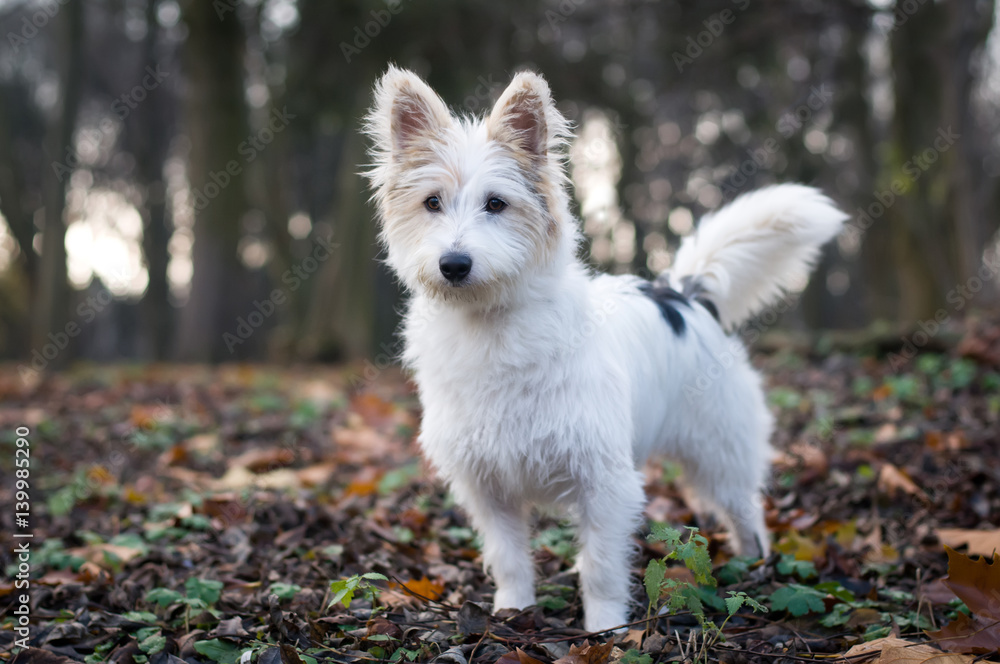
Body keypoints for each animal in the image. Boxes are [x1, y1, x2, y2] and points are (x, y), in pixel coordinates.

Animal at [364, 67, 848, 632]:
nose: (454, 264)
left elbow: (599, 566)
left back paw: (753, 568)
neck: (491, 324)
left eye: (496, 203)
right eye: (432, 203)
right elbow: (509, 557)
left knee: (745, 512)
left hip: (722, 452)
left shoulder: (605, 483)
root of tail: (681, 293)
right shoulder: (488, 486)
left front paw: (605, 629)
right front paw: (514, 611)